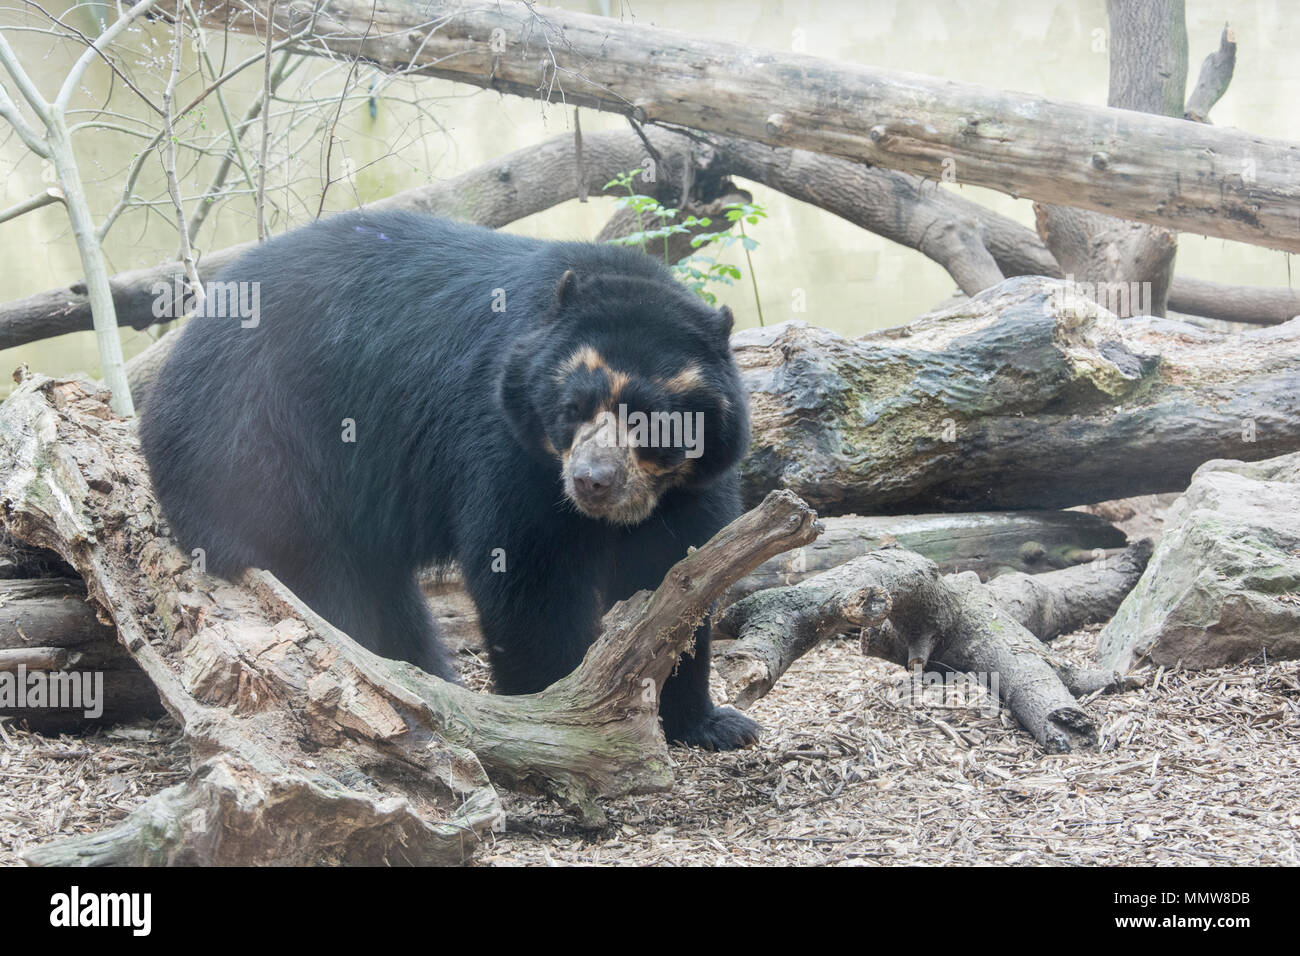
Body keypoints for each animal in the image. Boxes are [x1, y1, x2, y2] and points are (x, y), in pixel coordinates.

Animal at [137, 210, 759, 754]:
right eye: (571, 409)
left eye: (648, 421)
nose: (591, 482)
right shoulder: (503, 443)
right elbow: (527, 574)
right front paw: (558, 714)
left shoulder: (690, 489)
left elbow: (677, 579)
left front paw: (712, 723)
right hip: (256, 450)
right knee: (317, 579)